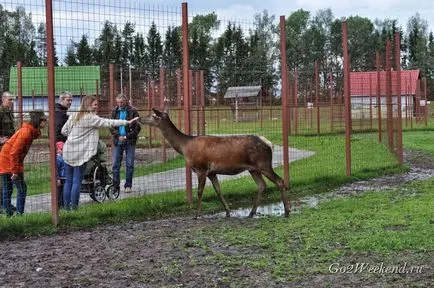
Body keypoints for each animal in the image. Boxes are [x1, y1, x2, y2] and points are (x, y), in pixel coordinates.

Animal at [139, 104, 292, 217]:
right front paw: (228, 211)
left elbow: (199, 191)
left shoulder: (201, 168)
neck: (185, 147)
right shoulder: (212, 172)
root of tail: (269, 144)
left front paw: (197, 214)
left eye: (153, 115)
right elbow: (218, 190)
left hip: (264, 163)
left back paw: (287, 210)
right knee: (262, 185)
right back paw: (251, 212)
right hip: (253, 169)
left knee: (279, 180)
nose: (140, 118)